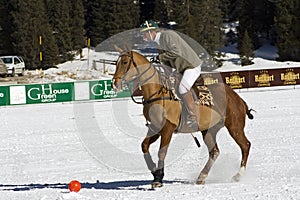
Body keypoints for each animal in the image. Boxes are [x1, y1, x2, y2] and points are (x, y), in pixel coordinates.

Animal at [111, 46, 252, 188]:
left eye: (124, 62)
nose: (114, 84)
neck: (156, 92)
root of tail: (238, 98)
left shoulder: (168, 127)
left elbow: (162, 152)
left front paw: (158, 178)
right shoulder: (155, 127)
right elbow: (144, 145)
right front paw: (154, 171)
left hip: (234, 126)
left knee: (245, 145)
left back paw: (238, 175)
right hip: (209, 130)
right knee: (215, 151)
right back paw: (201, 177)